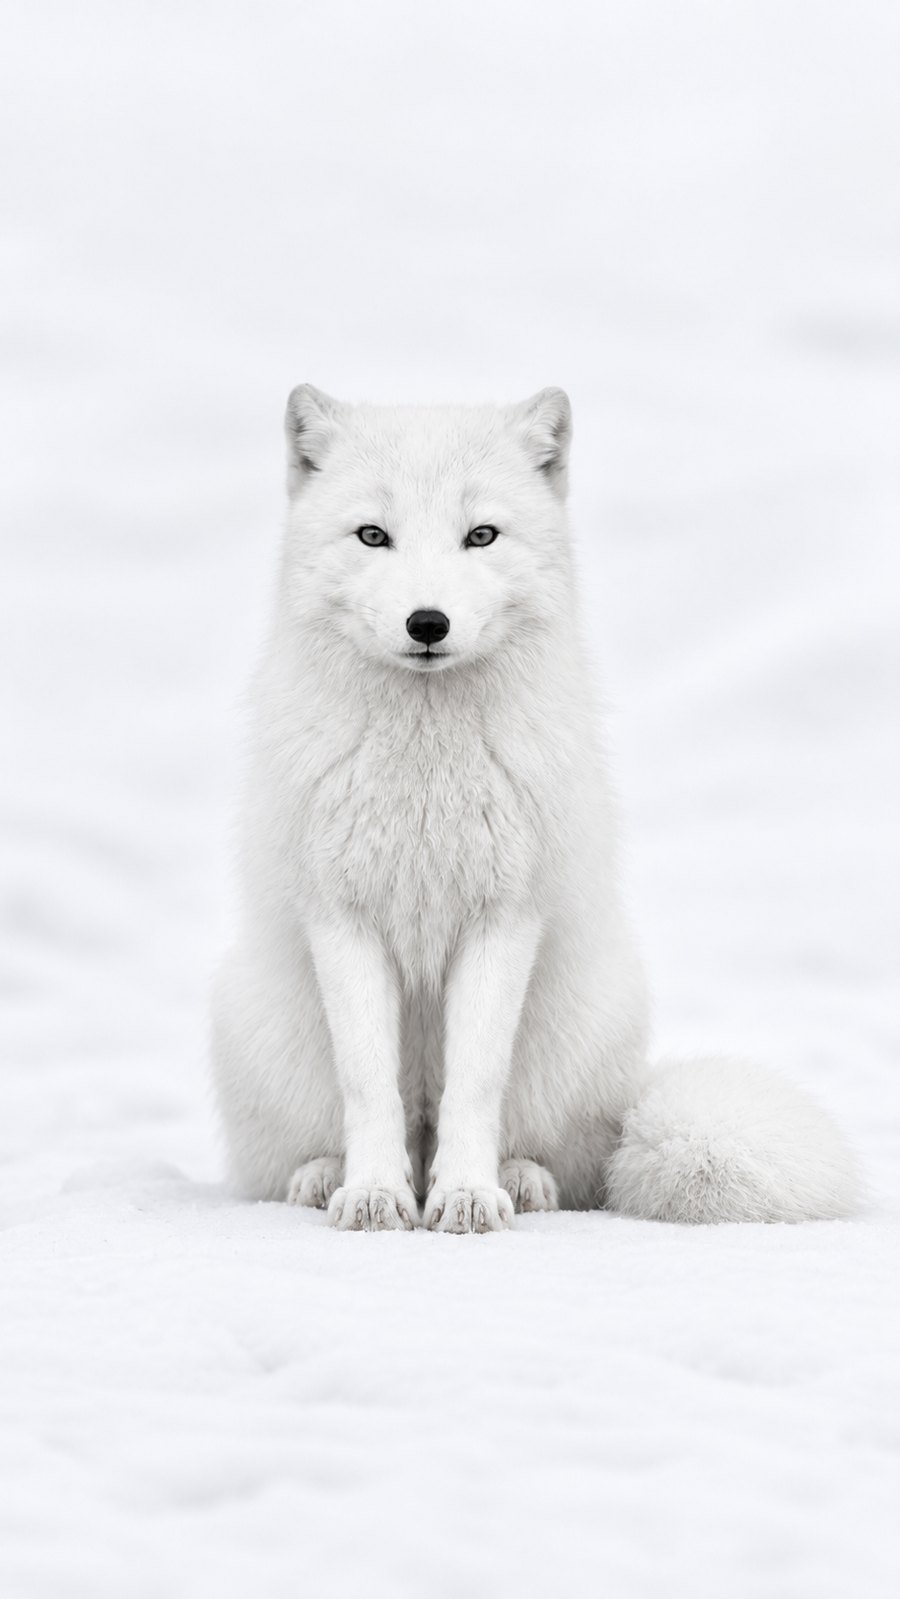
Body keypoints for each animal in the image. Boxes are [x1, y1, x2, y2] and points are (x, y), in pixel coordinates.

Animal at [211, 385, 861, 1231]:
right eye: (373, 535)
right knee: (319, 1145)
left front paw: (465, 1194)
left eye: (481, 534)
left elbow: (475, 1082)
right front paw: (377, 1193)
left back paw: (519, 1178)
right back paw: (326, 1175)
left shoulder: (506, 913)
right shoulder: (342, 914)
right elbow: (369, 1083)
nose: (428, 622)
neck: (427, 775)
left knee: (564, 1161)